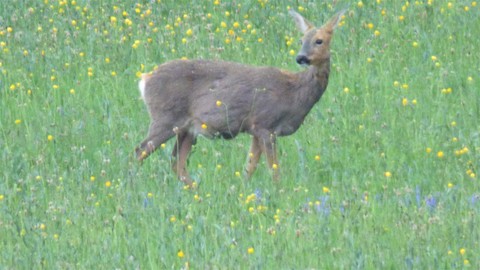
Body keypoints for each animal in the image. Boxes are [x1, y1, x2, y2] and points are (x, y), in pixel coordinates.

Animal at [137, 9, 344, 187]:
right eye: (301, 39)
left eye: (319, 40)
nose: (301, 57)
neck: (295, 92)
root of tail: (145, 79)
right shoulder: (265, 124)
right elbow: (273, 169)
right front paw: (278, 192)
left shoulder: (255, 129)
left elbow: (249, 167)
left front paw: (243, 189)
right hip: (165, 118)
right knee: (140, 151)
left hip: (187, 129)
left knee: (177, 163)